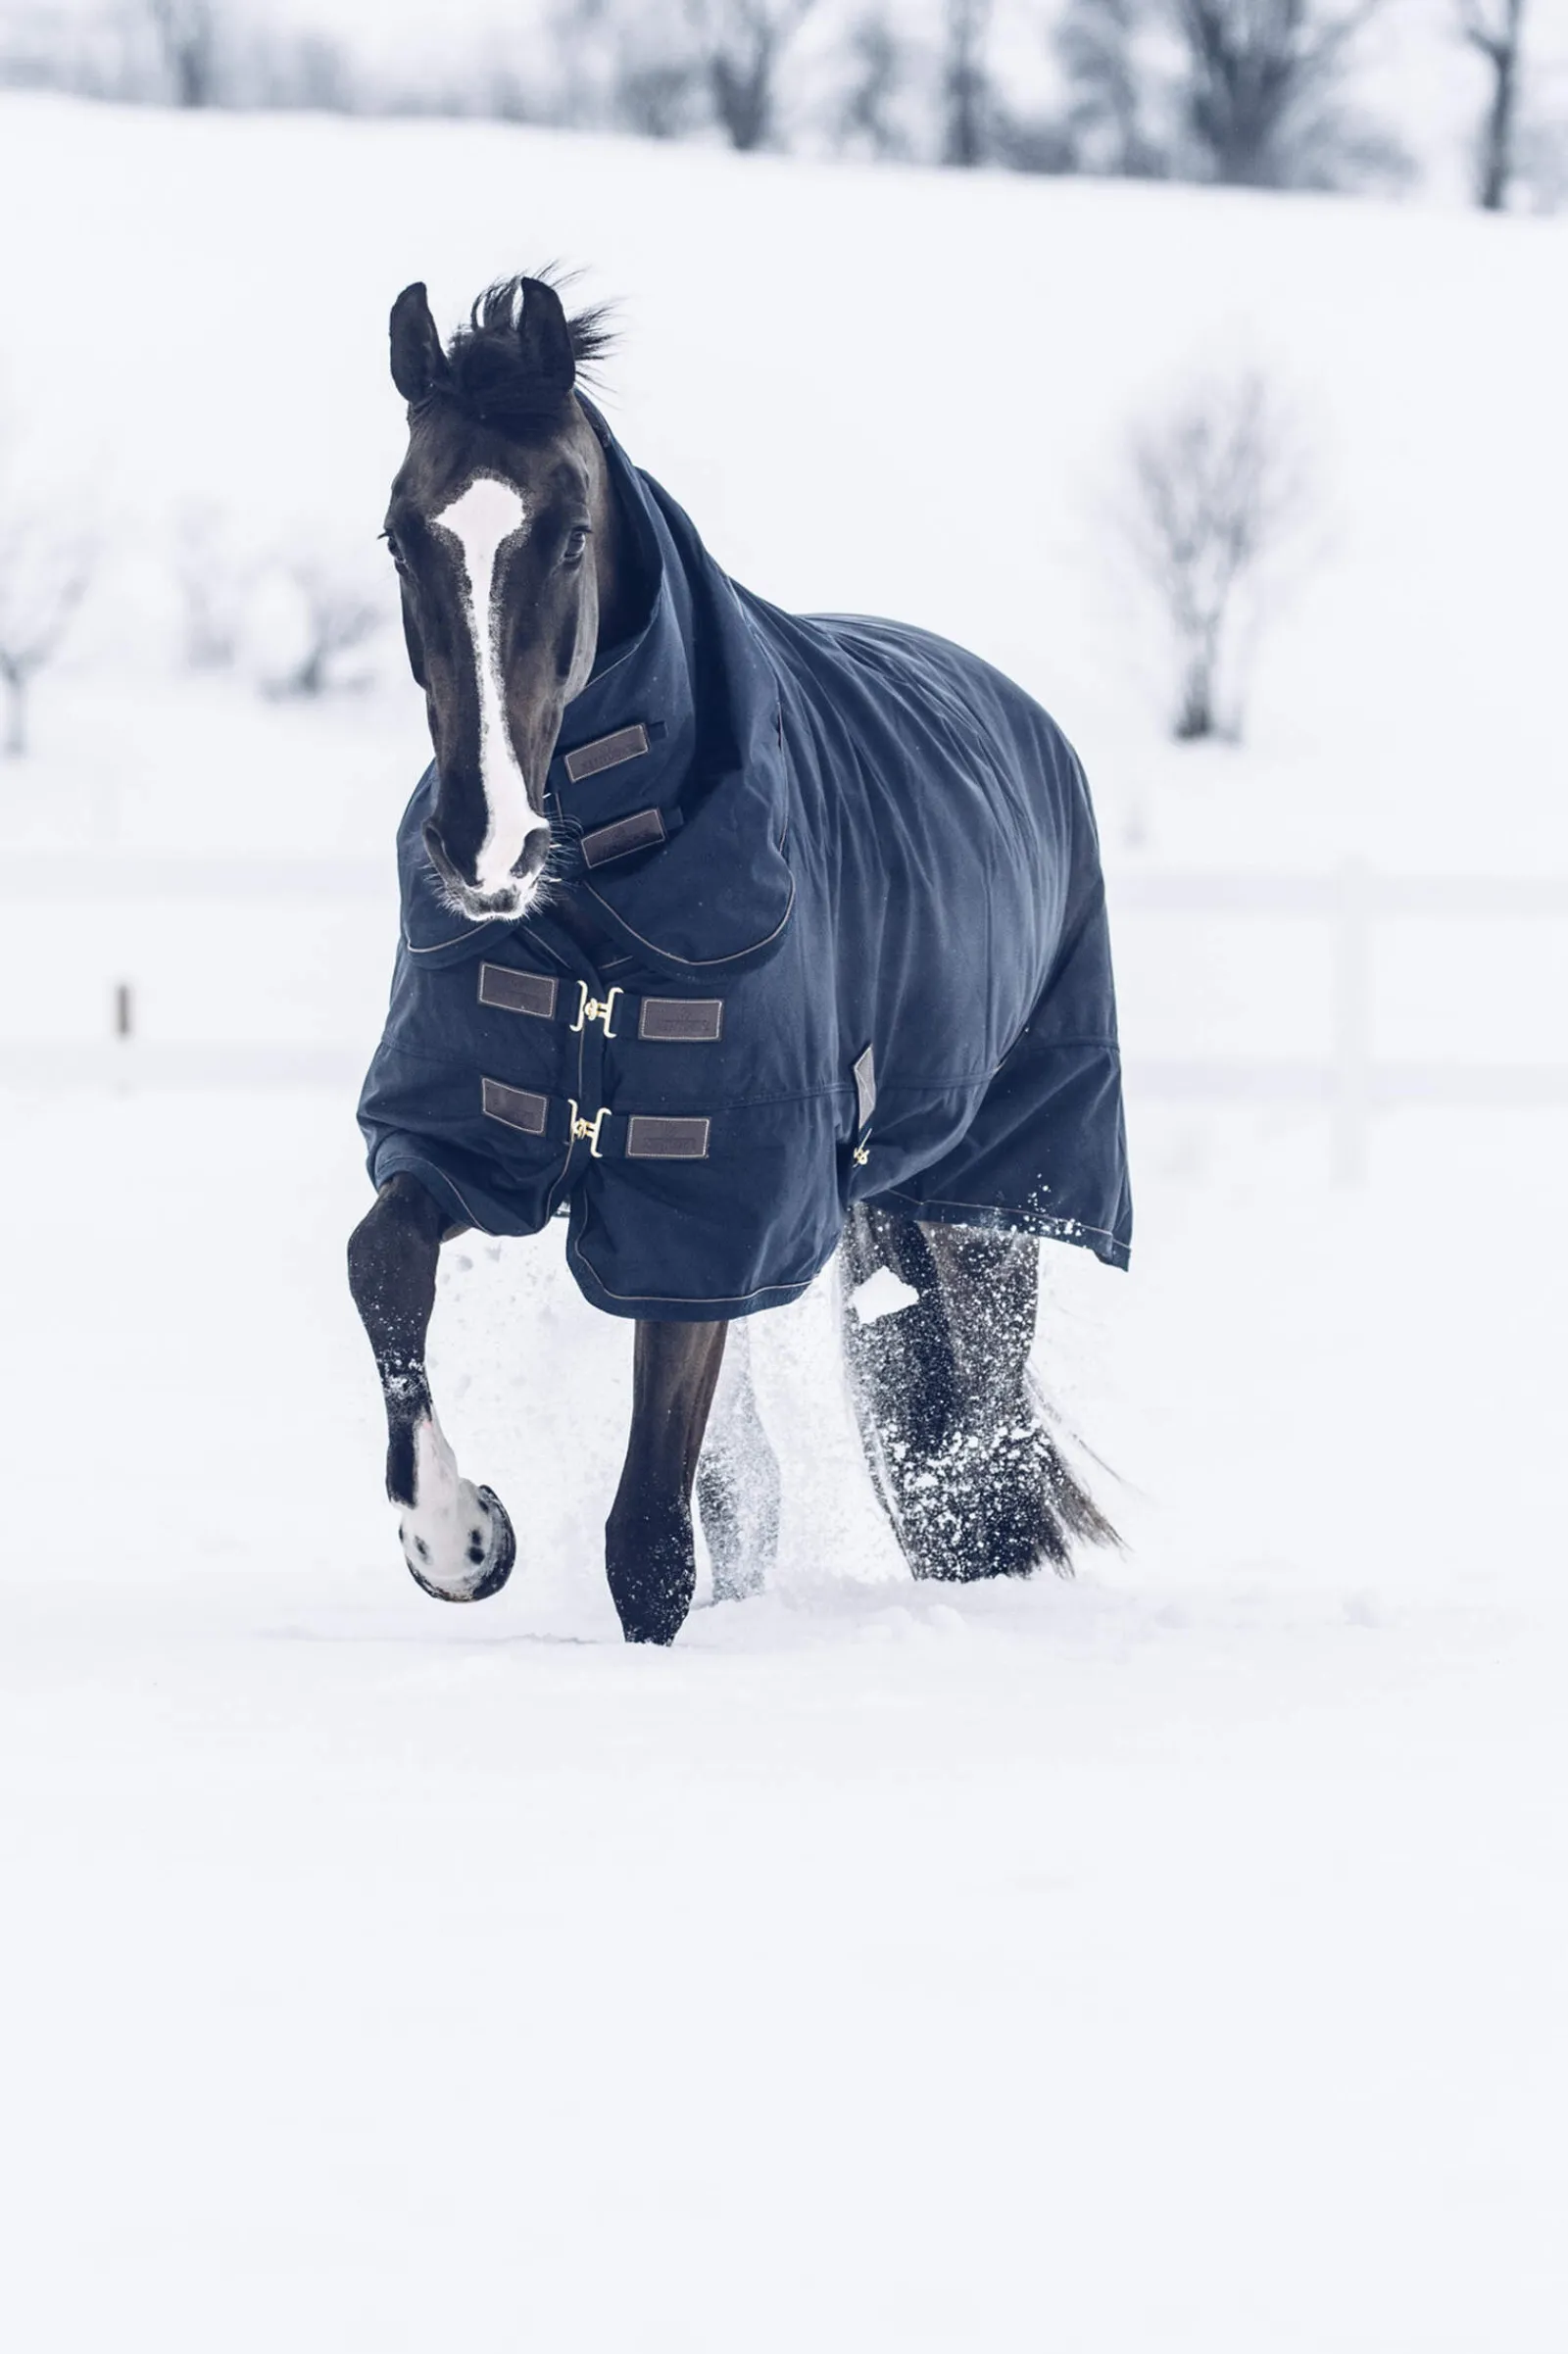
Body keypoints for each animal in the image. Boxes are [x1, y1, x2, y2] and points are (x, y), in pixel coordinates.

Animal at [348, 272, 1131, 1646]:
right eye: (401, 535)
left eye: (566, 536)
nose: (480, 845)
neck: (603, 893)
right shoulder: (471, 1135)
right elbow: (381, 1261)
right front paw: (457, 1538)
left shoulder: (711, 1216)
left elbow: (651, 1538)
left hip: (996, 1199)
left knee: (976, 1446)